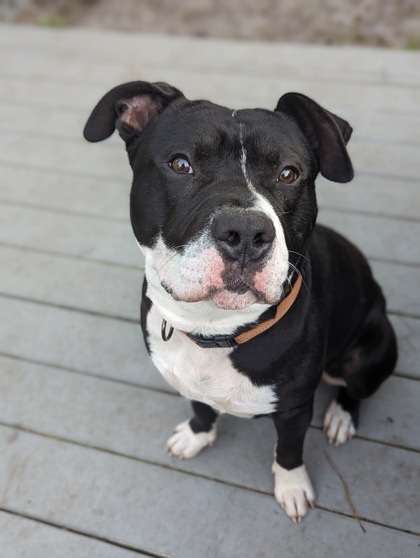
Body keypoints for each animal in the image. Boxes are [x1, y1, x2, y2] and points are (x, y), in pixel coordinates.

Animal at [83, 82, 398, 524]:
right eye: (180, 164)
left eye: (288, 174)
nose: (246, 232)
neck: (215, 330)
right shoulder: (190, 384)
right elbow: (201, 409)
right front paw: (196, 435)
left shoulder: (294, 410)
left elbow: (289, 450)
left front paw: (292, 487)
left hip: (369, 354)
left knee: (355, 388)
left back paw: (340, 416)